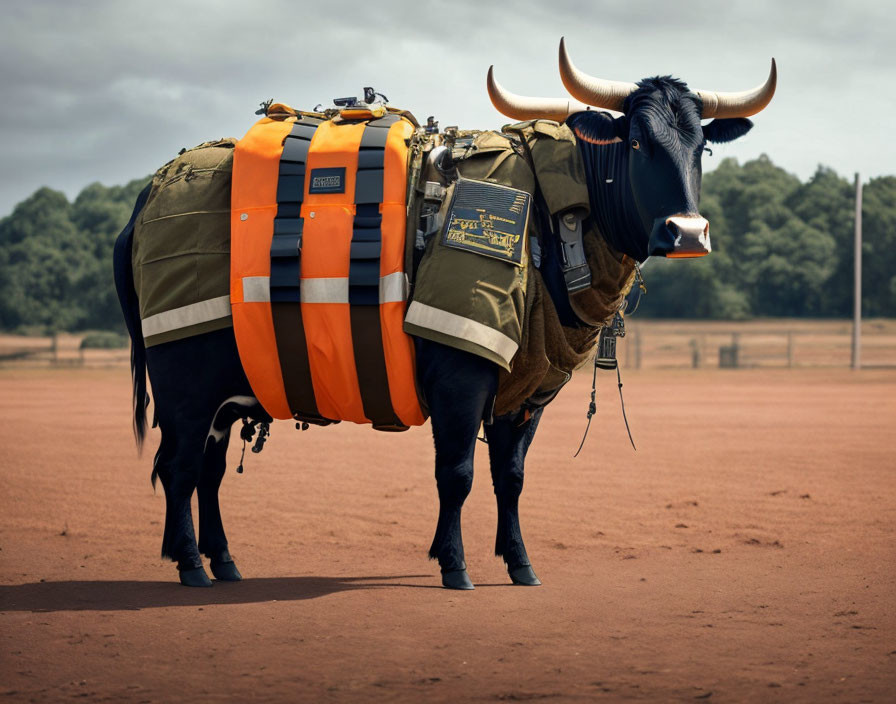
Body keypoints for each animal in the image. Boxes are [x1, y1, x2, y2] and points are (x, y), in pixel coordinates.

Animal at [110, 62, 768, 588]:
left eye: (702, 148)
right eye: (635, 141)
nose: (687, 232)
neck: (552, 221)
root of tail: (149, 195)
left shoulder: (526, 392)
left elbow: (510, 477)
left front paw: (520, 563)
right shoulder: (461, 372)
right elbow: (456, 473)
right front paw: (454, 564)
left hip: (224, 397)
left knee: (209, 472)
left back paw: (221, 560)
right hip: (186, 384)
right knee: (180, 468)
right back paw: (191, 564)